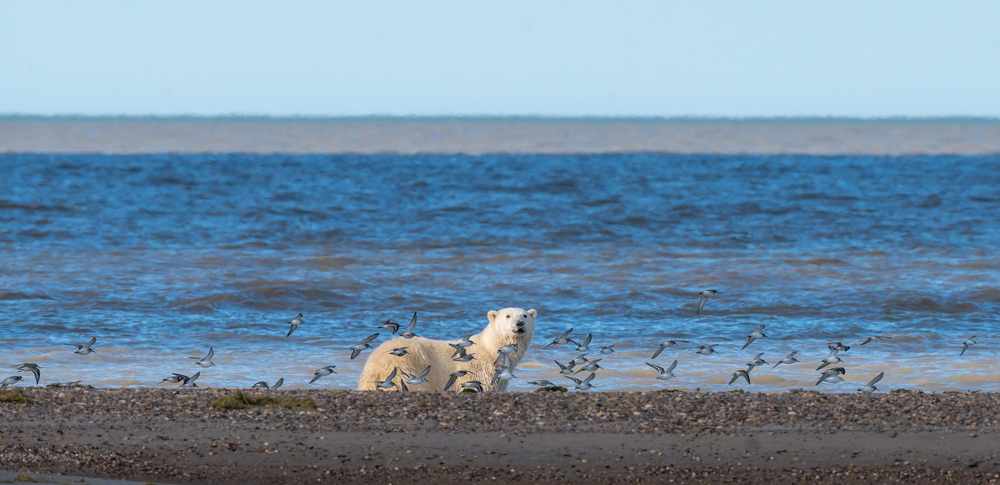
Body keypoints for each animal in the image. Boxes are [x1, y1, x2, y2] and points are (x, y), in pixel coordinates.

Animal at [357, 307, 537, 392]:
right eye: (508, 316)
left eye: (525, 315)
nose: (520, 324)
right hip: (407, 367)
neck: (490, 349)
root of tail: (374, 363)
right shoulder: (478, 370)